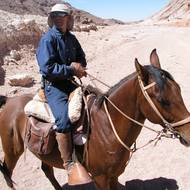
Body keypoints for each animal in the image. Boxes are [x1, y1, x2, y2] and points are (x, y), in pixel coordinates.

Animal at [0, 49, 190, 190]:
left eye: (179, 89)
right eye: (163, 100)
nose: (188, 134)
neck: (107, 127)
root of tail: (9, 101)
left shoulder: (114, 176)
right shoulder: (100, 178)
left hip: (42, 153)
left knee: (47, 170)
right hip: (12, 150)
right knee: (7, 172)